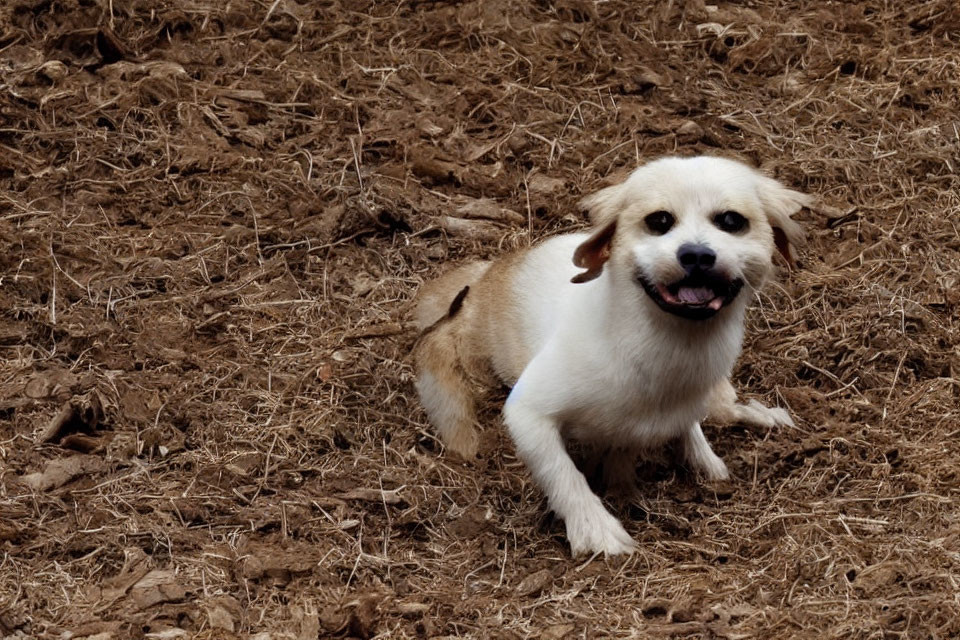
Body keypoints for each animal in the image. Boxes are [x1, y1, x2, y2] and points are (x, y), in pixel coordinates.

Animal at [412, 155, 808, 556]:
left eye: (730, 221)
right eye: (659, 220)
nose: (696, 255)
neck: (666, 353)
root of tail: (485, 276)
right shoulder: (527, 412)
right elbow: (564, 475)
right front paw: (598, 532)